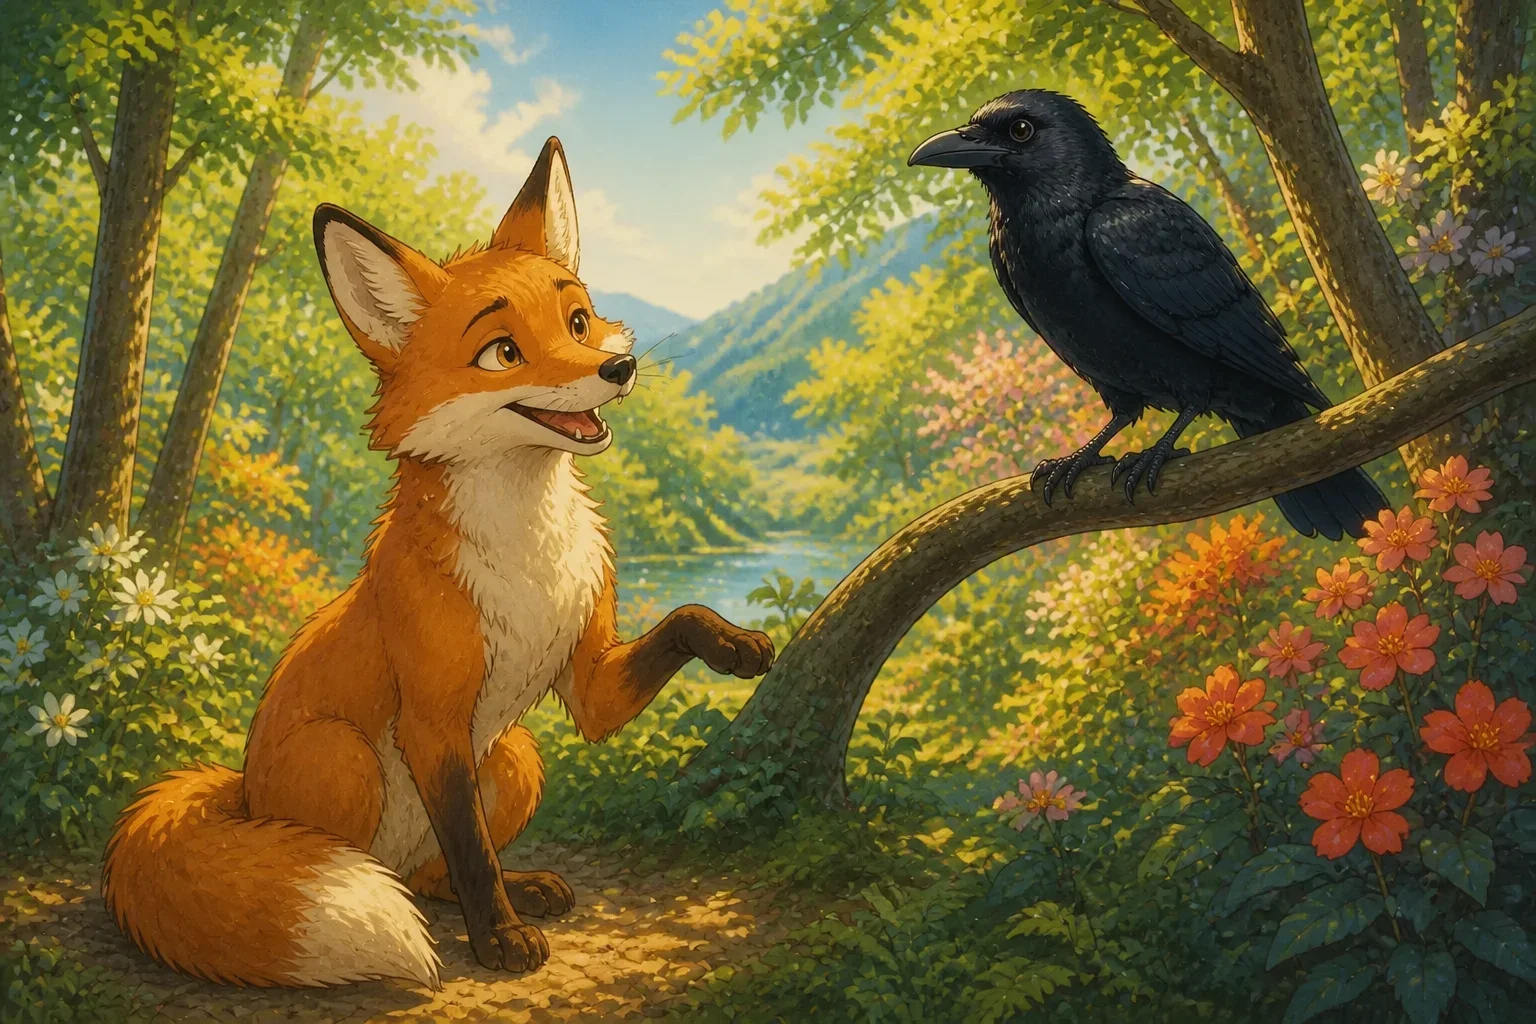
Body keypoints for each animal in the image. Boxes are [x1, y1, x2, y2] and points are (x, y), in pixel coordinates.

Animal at [101, 137, 775, 989]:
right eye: (503, 352)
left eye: (578, 321)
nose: (617, 370)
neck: (529, 553)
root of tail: (242, 792)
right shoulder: (433, 722)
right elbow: (471, 853)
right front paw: (500, 941)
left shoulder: (588, 686)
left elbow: (681, 620)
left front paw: (738, 645)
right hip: (346, 758)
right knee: (349, 866)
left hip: (515, 758)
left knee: (427, 874)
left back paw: (521, 886)